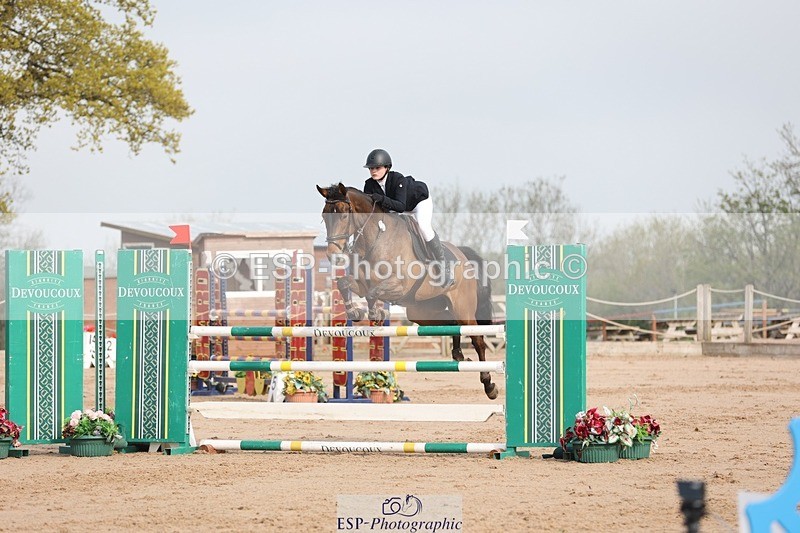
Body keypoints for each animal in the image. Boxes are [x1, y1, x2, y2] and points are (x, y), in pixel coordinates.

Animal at [317, 183, 499, 400]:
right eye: (324, 215)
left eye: (344, 215)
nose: (332, 255)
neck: (375, 238)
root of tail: (463, 256)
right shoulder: (361, 283)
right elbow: (345, 284)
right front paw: (356, 312)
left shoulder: (398, 286)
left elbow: (372, 293)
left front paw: (375, 313)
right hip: (422, 311)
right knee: (452, 324)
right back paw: (458, 355)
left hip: (463, 308)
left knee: (477, 338)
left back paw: (489, 385)